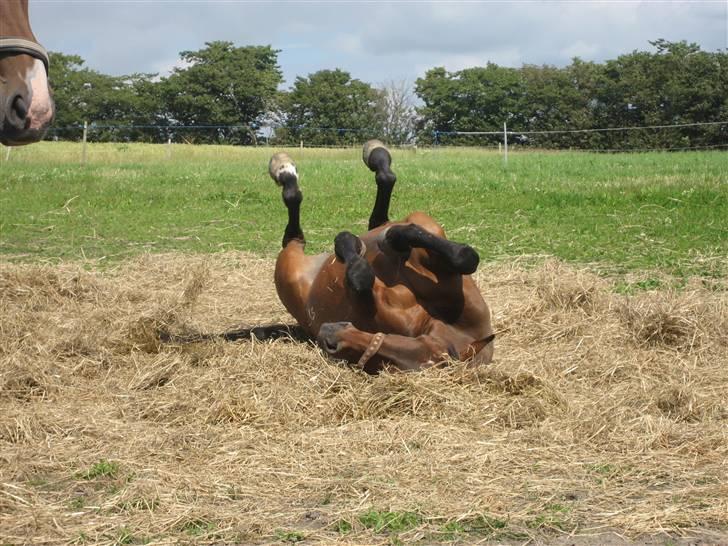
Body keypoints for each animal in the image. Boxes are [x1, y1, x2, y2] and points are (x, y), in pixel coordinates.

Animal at [268, 140, 494, 372]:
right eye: (425, 342)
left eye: (394, 365)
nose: (329, 338)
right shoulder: (428, 226)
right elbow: (465, 256)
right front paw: (386, 238)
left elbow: (360, 277)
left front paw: (349, 241)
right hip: (289, 262)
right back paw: (286, 168)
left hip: (288, 267)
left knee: (298, 232)